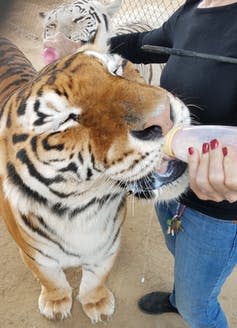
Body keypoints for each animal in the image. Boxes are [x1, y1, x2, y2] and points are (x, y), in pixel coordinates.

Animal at [0, 35, 190, 320]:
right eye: (66, 120)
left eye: (117, 70)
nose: (163, 116)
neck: (82, 211)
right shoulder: (36, 256)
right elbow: (51, 280)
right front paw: (56, 303)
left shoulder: (106, 248)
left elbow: (95, 279)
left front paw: (97, 303)